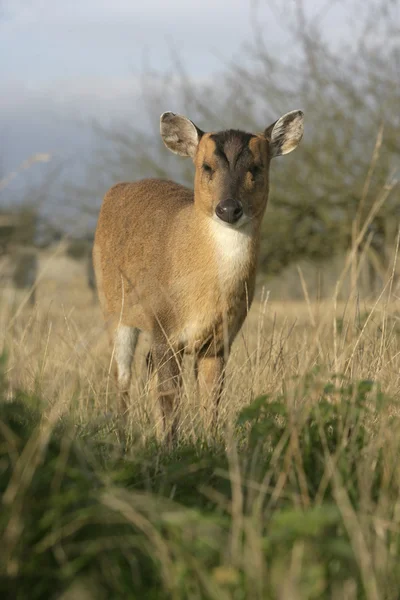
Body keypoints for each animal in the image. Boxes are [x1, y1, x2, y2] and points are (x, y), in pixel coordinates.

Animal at [93, 110, 304, 442]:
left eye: (256, 167)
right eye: (206, 166)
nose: (228, 208)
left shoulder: (219, 340)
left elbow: (211, 399)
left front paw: (211, 442)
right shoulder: (164, 328)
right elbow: (169, 397)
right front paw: (167, 446)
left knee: (145, 367)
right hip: (114, 309)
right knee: (122, 376)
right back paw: (121, 434)